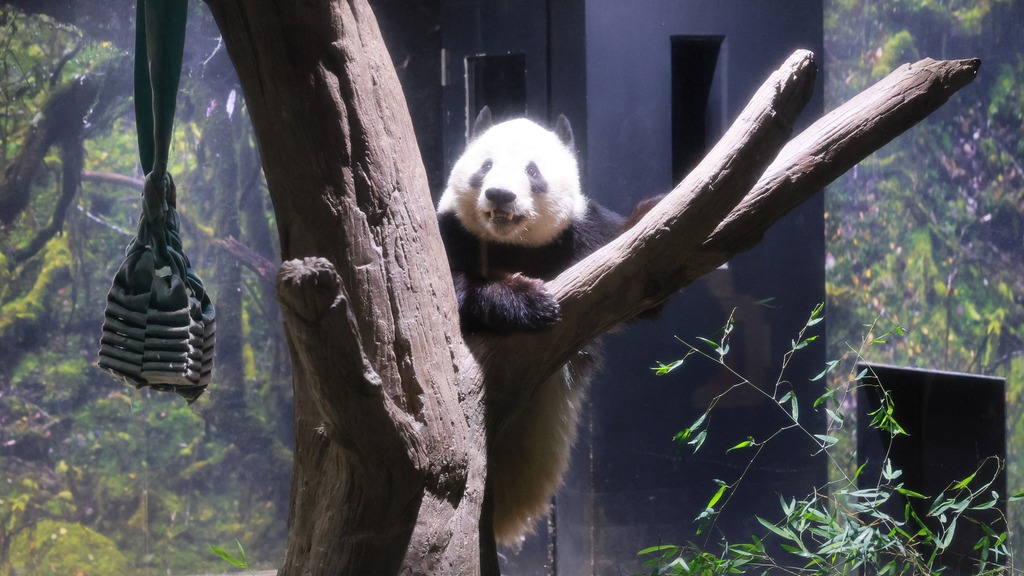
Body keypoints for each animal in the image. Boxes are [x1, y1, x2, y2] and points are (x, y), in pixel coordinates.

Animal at [436, 107, 658, 547]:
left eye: (533, 171)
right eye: (485, 166)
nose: (500, 195)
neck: (512, 243)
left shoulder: (581, 233)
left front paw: (650, 216)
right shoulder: (453, 233)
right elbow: (446, 288)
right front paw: (525, 300)